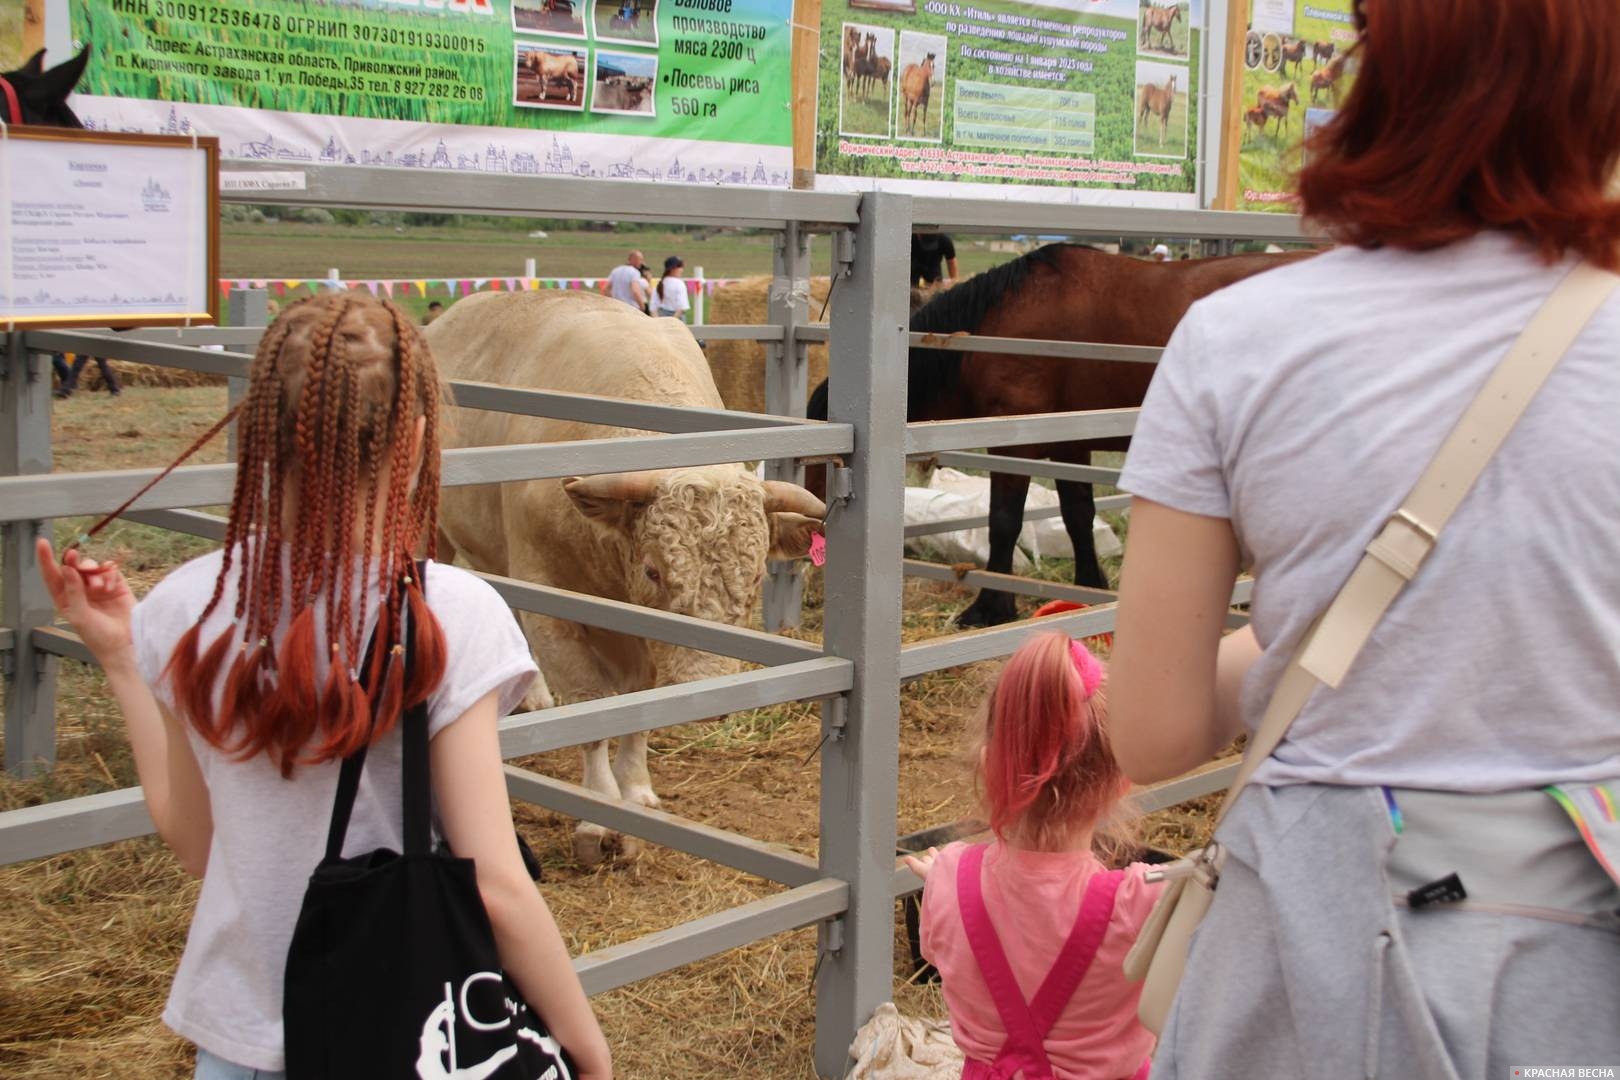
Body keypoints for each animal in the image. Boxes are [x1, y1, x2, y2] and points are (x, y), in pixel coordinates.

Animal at [427, 291, 822, 867]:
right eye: (655, 568)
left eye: (753, 580)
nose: (705, 688)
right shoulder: (552, 607)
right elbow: (592, 710)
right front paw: (597, 818)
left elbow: (637, 709)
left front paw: (636, 795)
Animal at [803, 247, 1308, 625]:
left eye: (828, 462)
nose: (810, 539)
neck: (998, 325)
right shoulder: (1070, 442)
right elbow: (1077, 514)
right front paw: (1090, 588)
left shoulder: (1015, 445)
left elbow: (1004, 521)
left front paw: (990, 607)